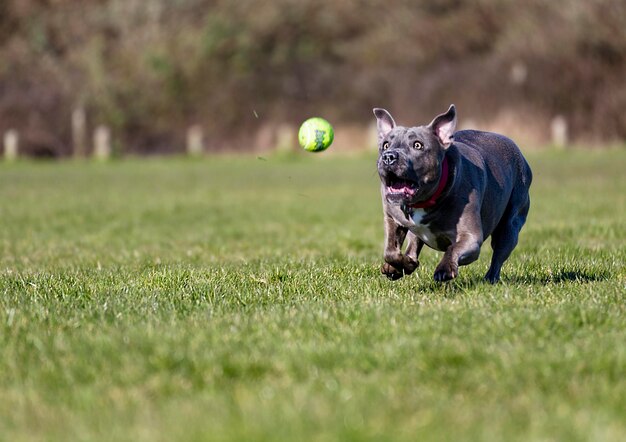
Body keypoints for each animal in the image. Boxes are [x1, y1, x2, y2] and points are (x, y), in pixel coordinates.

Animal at [372, 105, 528, 282]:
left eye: (418, 145)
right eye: (385, 145)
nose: (389, 156)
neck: (423, 202)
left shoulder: (471, 238)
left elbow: (453, 248)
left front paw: (444, 269)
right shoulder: (391, 218)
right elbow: (390, 251)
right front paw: (402, 265)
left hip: (509, 227)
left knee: (499, 255)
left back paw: (490, 279)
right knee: (413, 244)